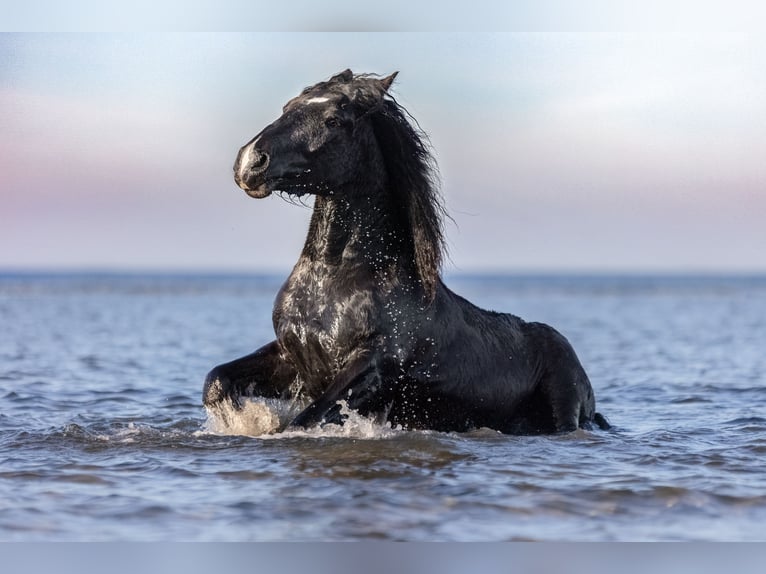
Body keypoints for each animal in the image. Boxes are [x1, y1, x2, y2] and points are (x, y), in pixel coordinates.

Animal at [203, 69, 610, 434]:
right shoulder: (292, 356)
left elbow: (304, 421)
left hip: (563, 408)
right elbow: (216, 381)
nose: (250, 161)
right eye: (288, 106)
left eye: (333, 120)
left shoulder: (372, 367)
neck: (335, 277)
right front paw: (242, 420)